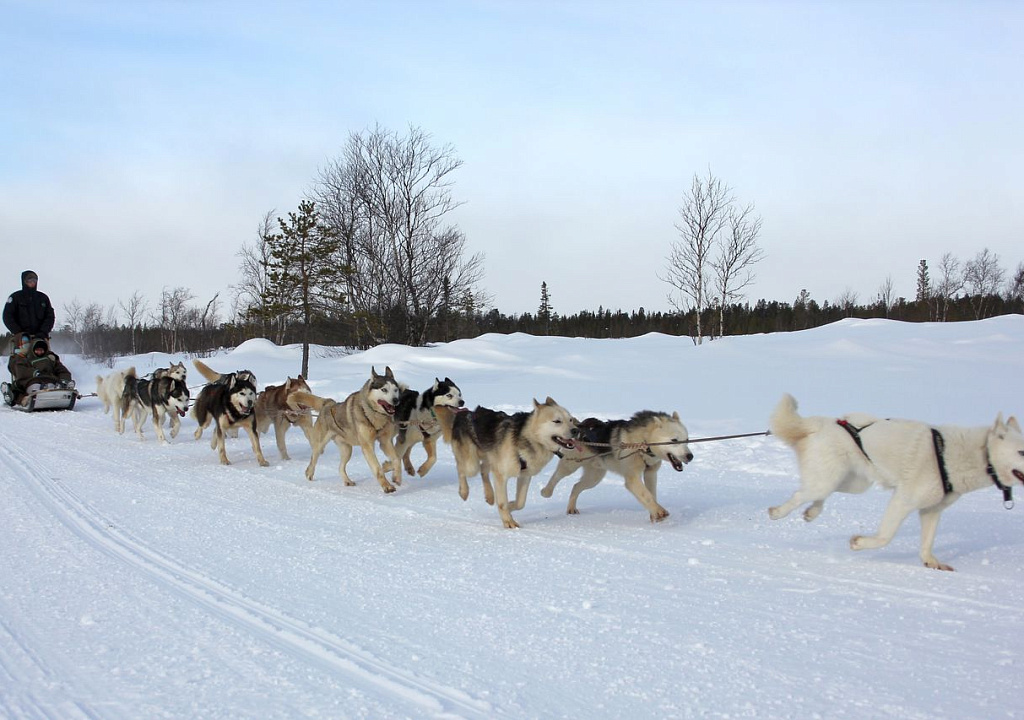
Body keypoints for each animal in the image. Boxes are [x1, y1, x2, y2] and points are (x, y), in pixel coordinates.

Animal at [436, 398, 578, 528]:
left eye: (570, 420)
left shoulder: (525, 475)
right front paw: (508, 521)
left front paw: (510, 506)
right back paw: (464, 491)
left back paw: (489, 496)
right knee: (461, 468)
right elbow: (502, 502)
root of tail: (464, 413)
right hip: (471, 464)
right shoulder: (501, 475)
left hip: (488, 458)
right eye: (557, 421)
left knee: (483, 470)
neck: (530, 438)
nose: (576, 430)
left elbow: (520, 502)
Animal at [540, 411, 693, 522]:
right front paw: (659, 511)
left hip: (594, 477)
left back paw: (571, 508)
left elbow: (651, 494)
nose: (690, 456)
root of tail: (579, 425)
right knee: (556, 476)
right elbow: (646, 495)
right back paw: (546, 491)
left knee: (576, 486)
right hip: (571, 464)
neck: (643, 443)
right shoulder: (632, 478)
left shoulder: (650, 473)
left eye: (686, 440)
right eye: (674, 440)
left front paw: (654, 514)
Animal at [768, 393, 1024, 570]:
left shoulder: (931, 510)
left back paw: (812, 512)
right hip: (828, 478)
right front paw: (860, 543)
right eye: (1022, 451)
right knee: (801, 494)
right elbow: (886, 536)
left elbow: (927, 543)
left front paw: (931, 561)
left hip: (853, 483)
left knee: (820, 494)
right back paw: (778, 512)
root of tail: (826, 421)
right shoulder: (903, 500)